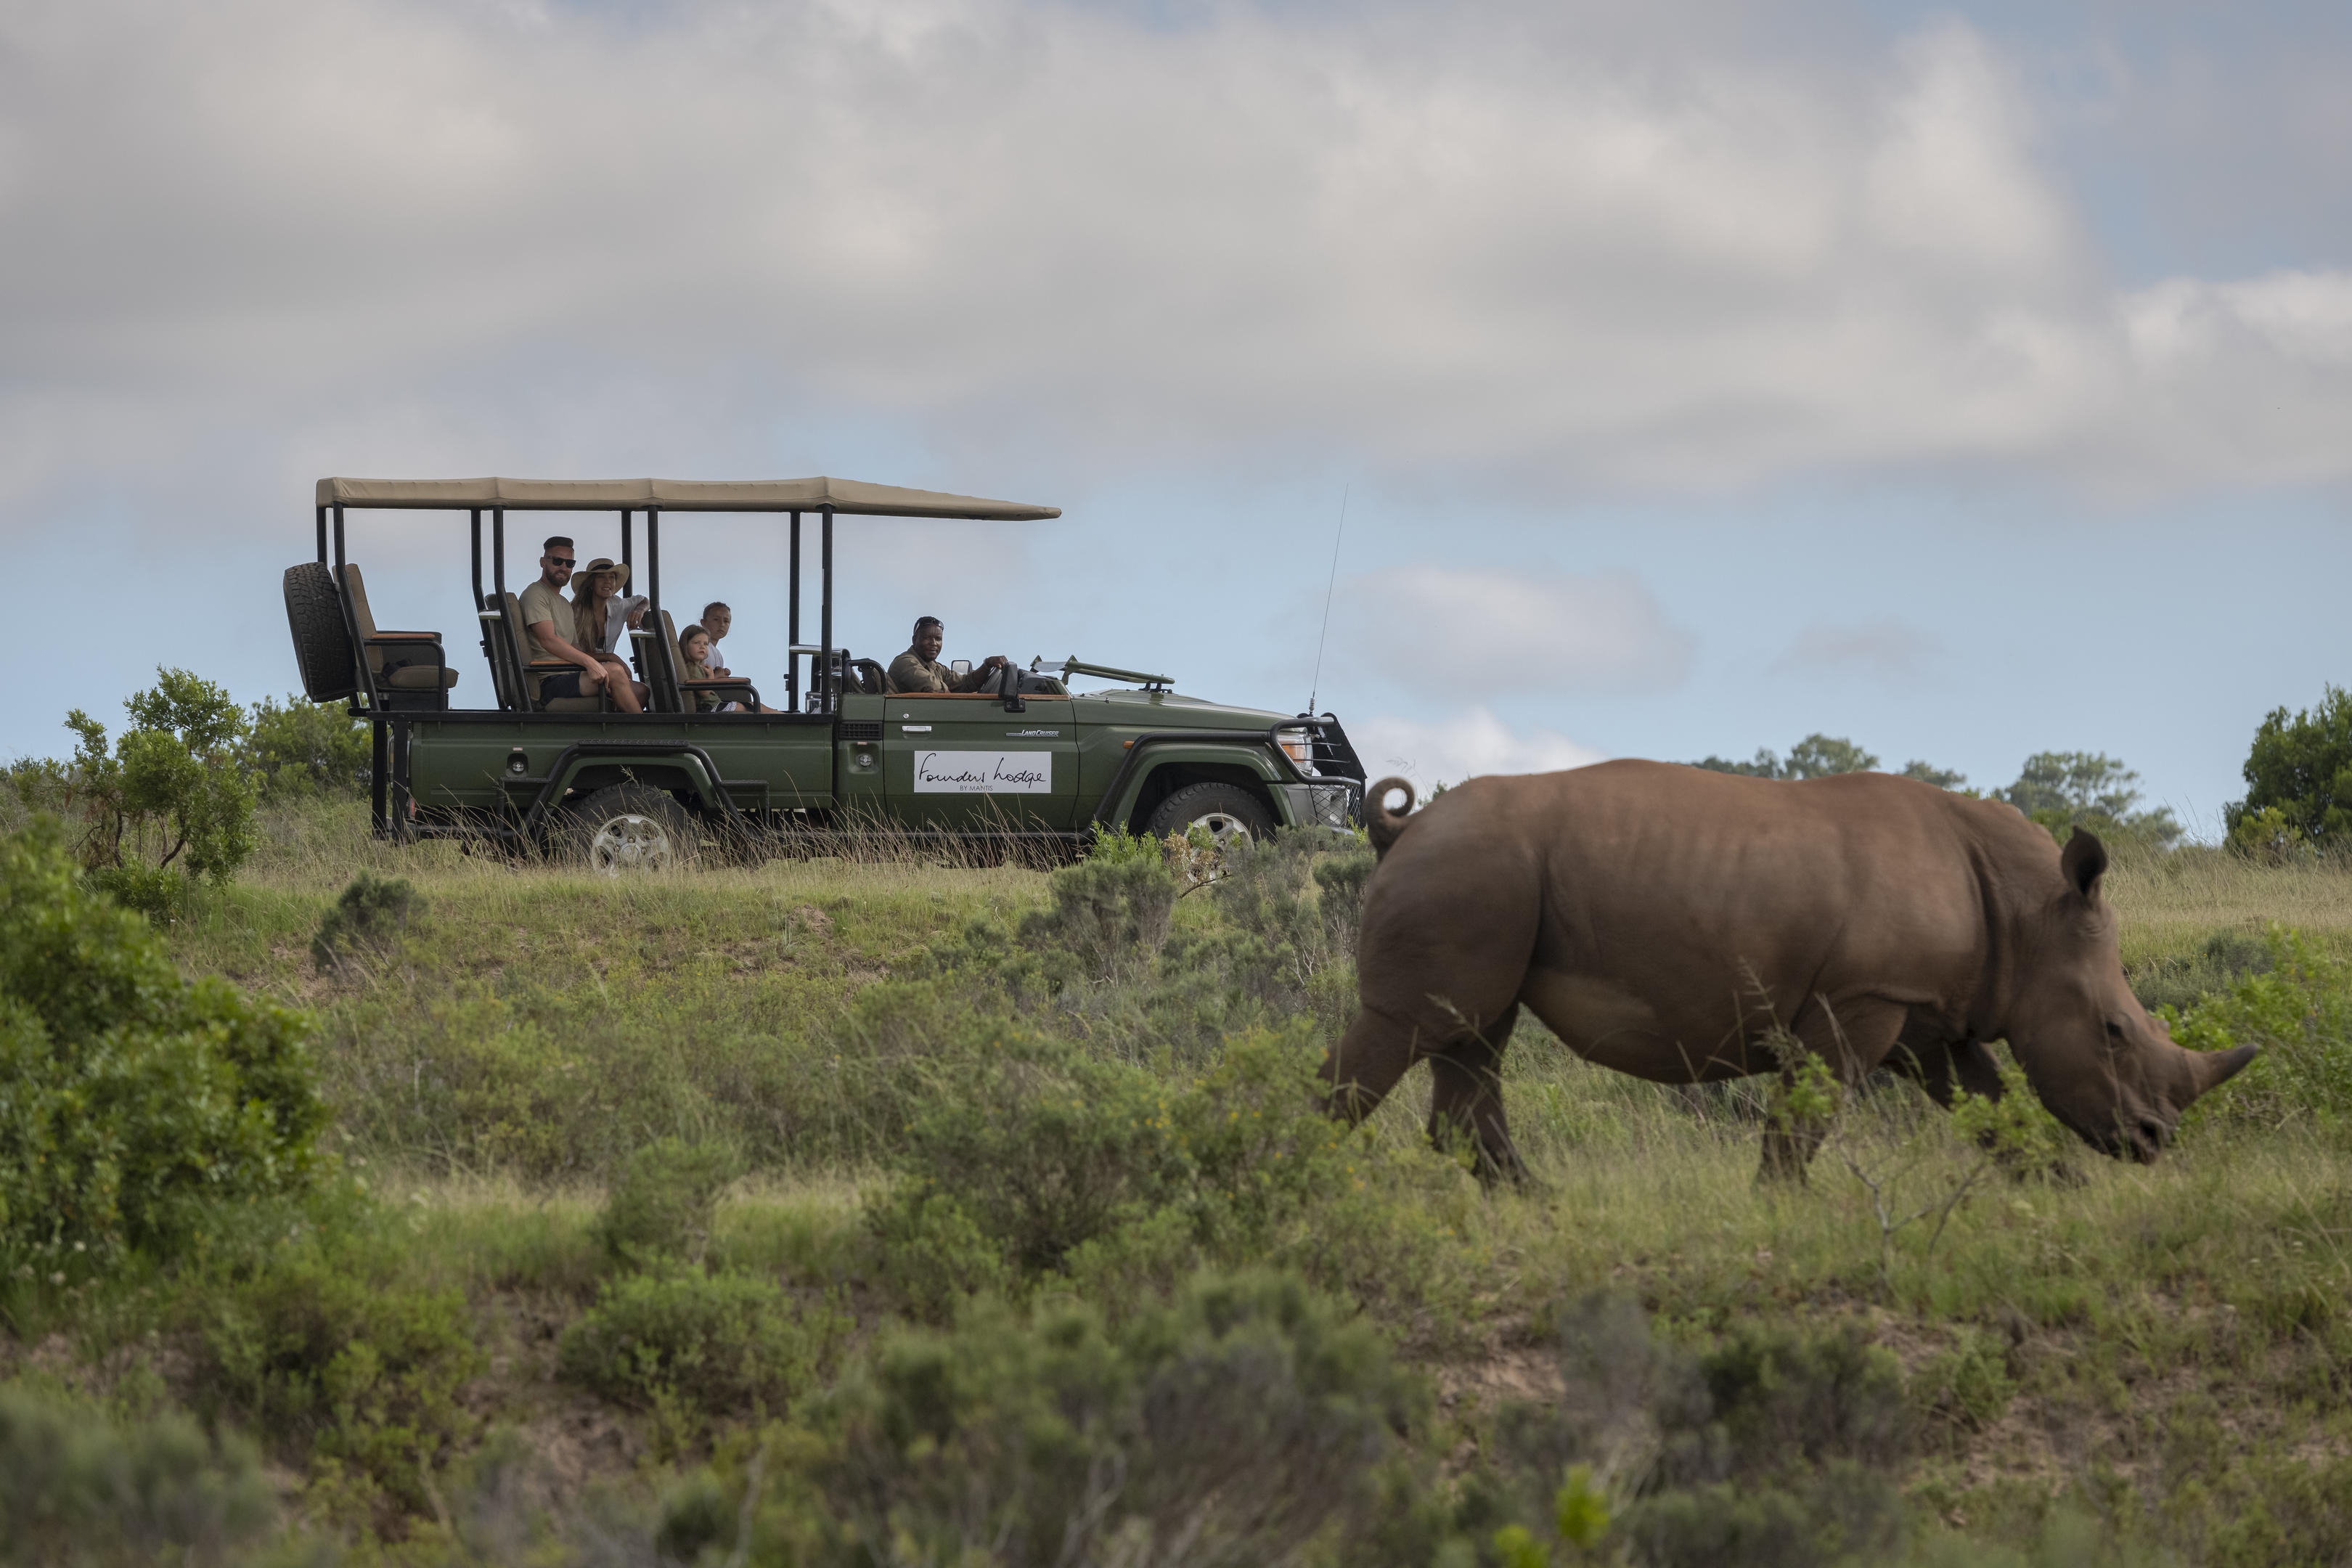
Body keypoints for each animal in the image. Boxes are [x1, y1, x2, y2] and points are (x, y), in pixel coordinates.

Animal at [1321, 761, 2256, 1181]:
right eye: (2114, 1030)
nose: (2155, 1142)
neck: (2032, 913)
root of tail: (1401, 829)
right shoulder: (1861, 999)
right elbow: (1801, 1121)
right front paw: (1780, 1207)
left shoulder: (1928, 1015)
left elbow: (1997, 1112)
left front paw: (2057, 1193)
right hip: (1466, 874)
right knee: (1413, 1030)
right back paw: (1303, 1178)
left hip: (1484, 882)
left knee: (1471, 1038)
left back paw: (1539, 1211)